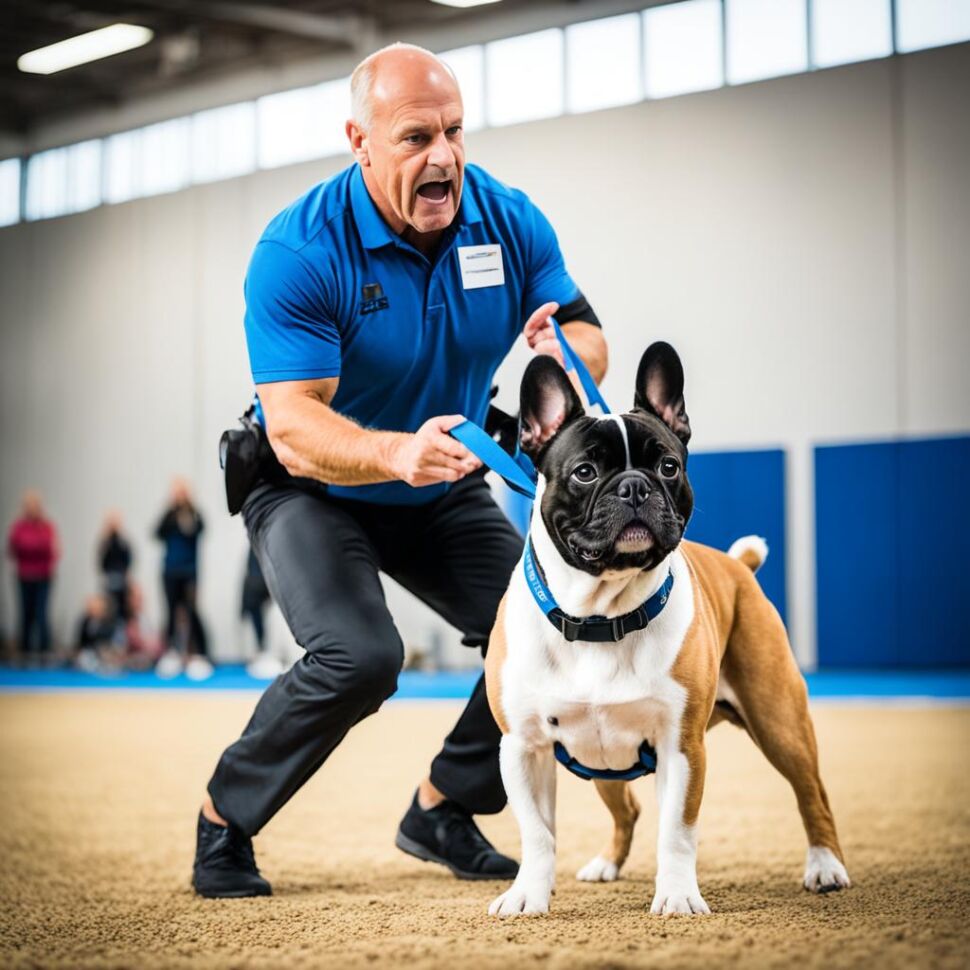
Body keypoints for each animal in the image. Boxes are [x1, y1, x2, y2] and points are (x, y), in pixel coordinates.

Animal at [484, 342, 848, 916]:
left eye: (669, 465)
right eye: (585, 472)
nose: (635, 486)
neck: (599, 616)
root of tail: (738, 565)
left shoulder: (681, 748)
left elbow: (676, 831)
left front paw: (677, 896)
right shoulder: (525, 747)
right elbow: (537, 834)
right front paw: (528, 896)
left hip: (780, 722)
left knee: (812, 792)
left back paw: (826, 866)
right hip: (601, 762)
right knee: (626, 810)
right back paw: (606, 865)